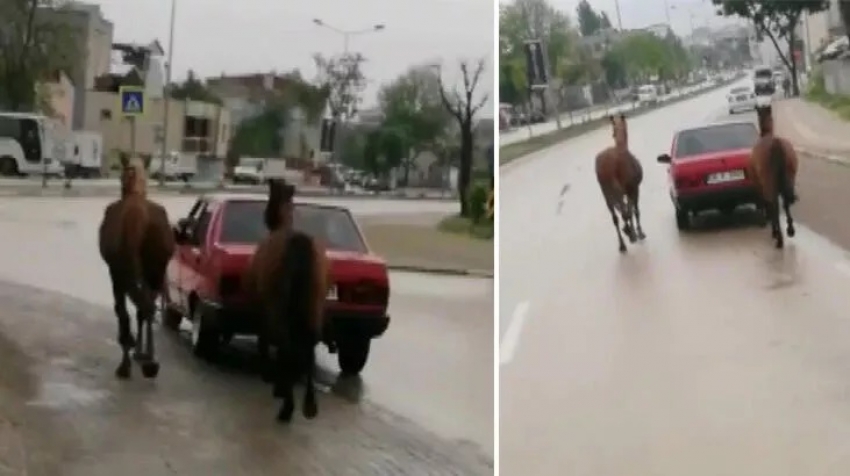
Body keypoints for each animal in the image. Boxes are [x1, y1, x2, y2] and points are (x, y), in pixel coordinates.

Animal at [97, 159, 174, 380]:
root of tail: (138, 217)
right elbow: (141, 310)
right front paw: (141, 352)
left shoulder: (115, 272)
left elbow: (122, 311)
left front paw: (132, 349)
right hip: (156, 271)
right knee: (146, 306)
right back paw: (150, 361)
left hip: (124, 273)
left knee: (128, 310)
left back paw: (128, 361)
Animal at [243, 179, 330, 424]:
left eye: (272, 194)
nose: (266, 216)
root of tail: (299, 244)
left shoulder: (264, 304)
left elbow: (265, 339)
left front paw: (271, 378)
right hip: (313, 304)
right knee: (309, 344)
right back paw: (308, 404)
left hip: (280, 304)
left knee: (287, 343)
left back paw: (287, 405)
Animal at [596, 113, 644, 253]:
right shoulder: (634, 188)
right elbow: (634, 210)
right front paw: (639, 232)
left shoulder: (627, 191)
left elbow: (628, 211)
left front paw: (630, 230)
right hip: (617, 189)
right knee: (624, 212)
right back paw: (631, 235)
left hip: (606, 192)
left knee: (615, 217)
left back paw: (622, 244)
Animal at [748, 105, 796, 249]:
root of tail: (775, 144)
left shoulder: (761, 186)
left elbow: (768, 205)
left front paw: (774, 231)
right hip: (789, 180)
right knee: (785, 203)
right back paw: (790, 230)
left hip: (769, 184)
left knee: (774, 204)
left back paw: (778, 237)